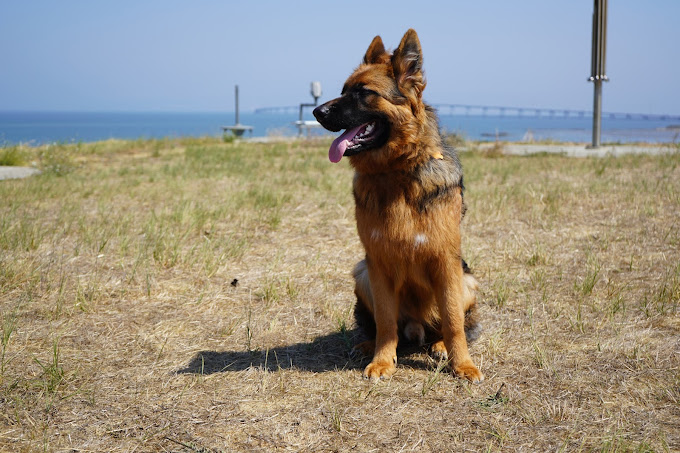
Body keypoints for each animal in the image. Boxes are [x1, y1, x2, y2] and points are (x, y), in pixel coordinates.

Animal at [314, 29, 484, 382]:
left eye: (364, 93)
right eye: (343, 91)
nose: (316, 112)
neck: (396, 172)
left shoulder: (446, 261)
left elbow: (453, 322)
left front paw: (462, 364)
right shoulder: (377, 263)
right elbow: (385, 321)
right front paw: (382, 360)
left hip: (467, 281)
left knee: (450, 325)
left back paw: (439, 346)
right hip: (362, 273)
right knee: (380, 324)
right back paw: (368, 344)